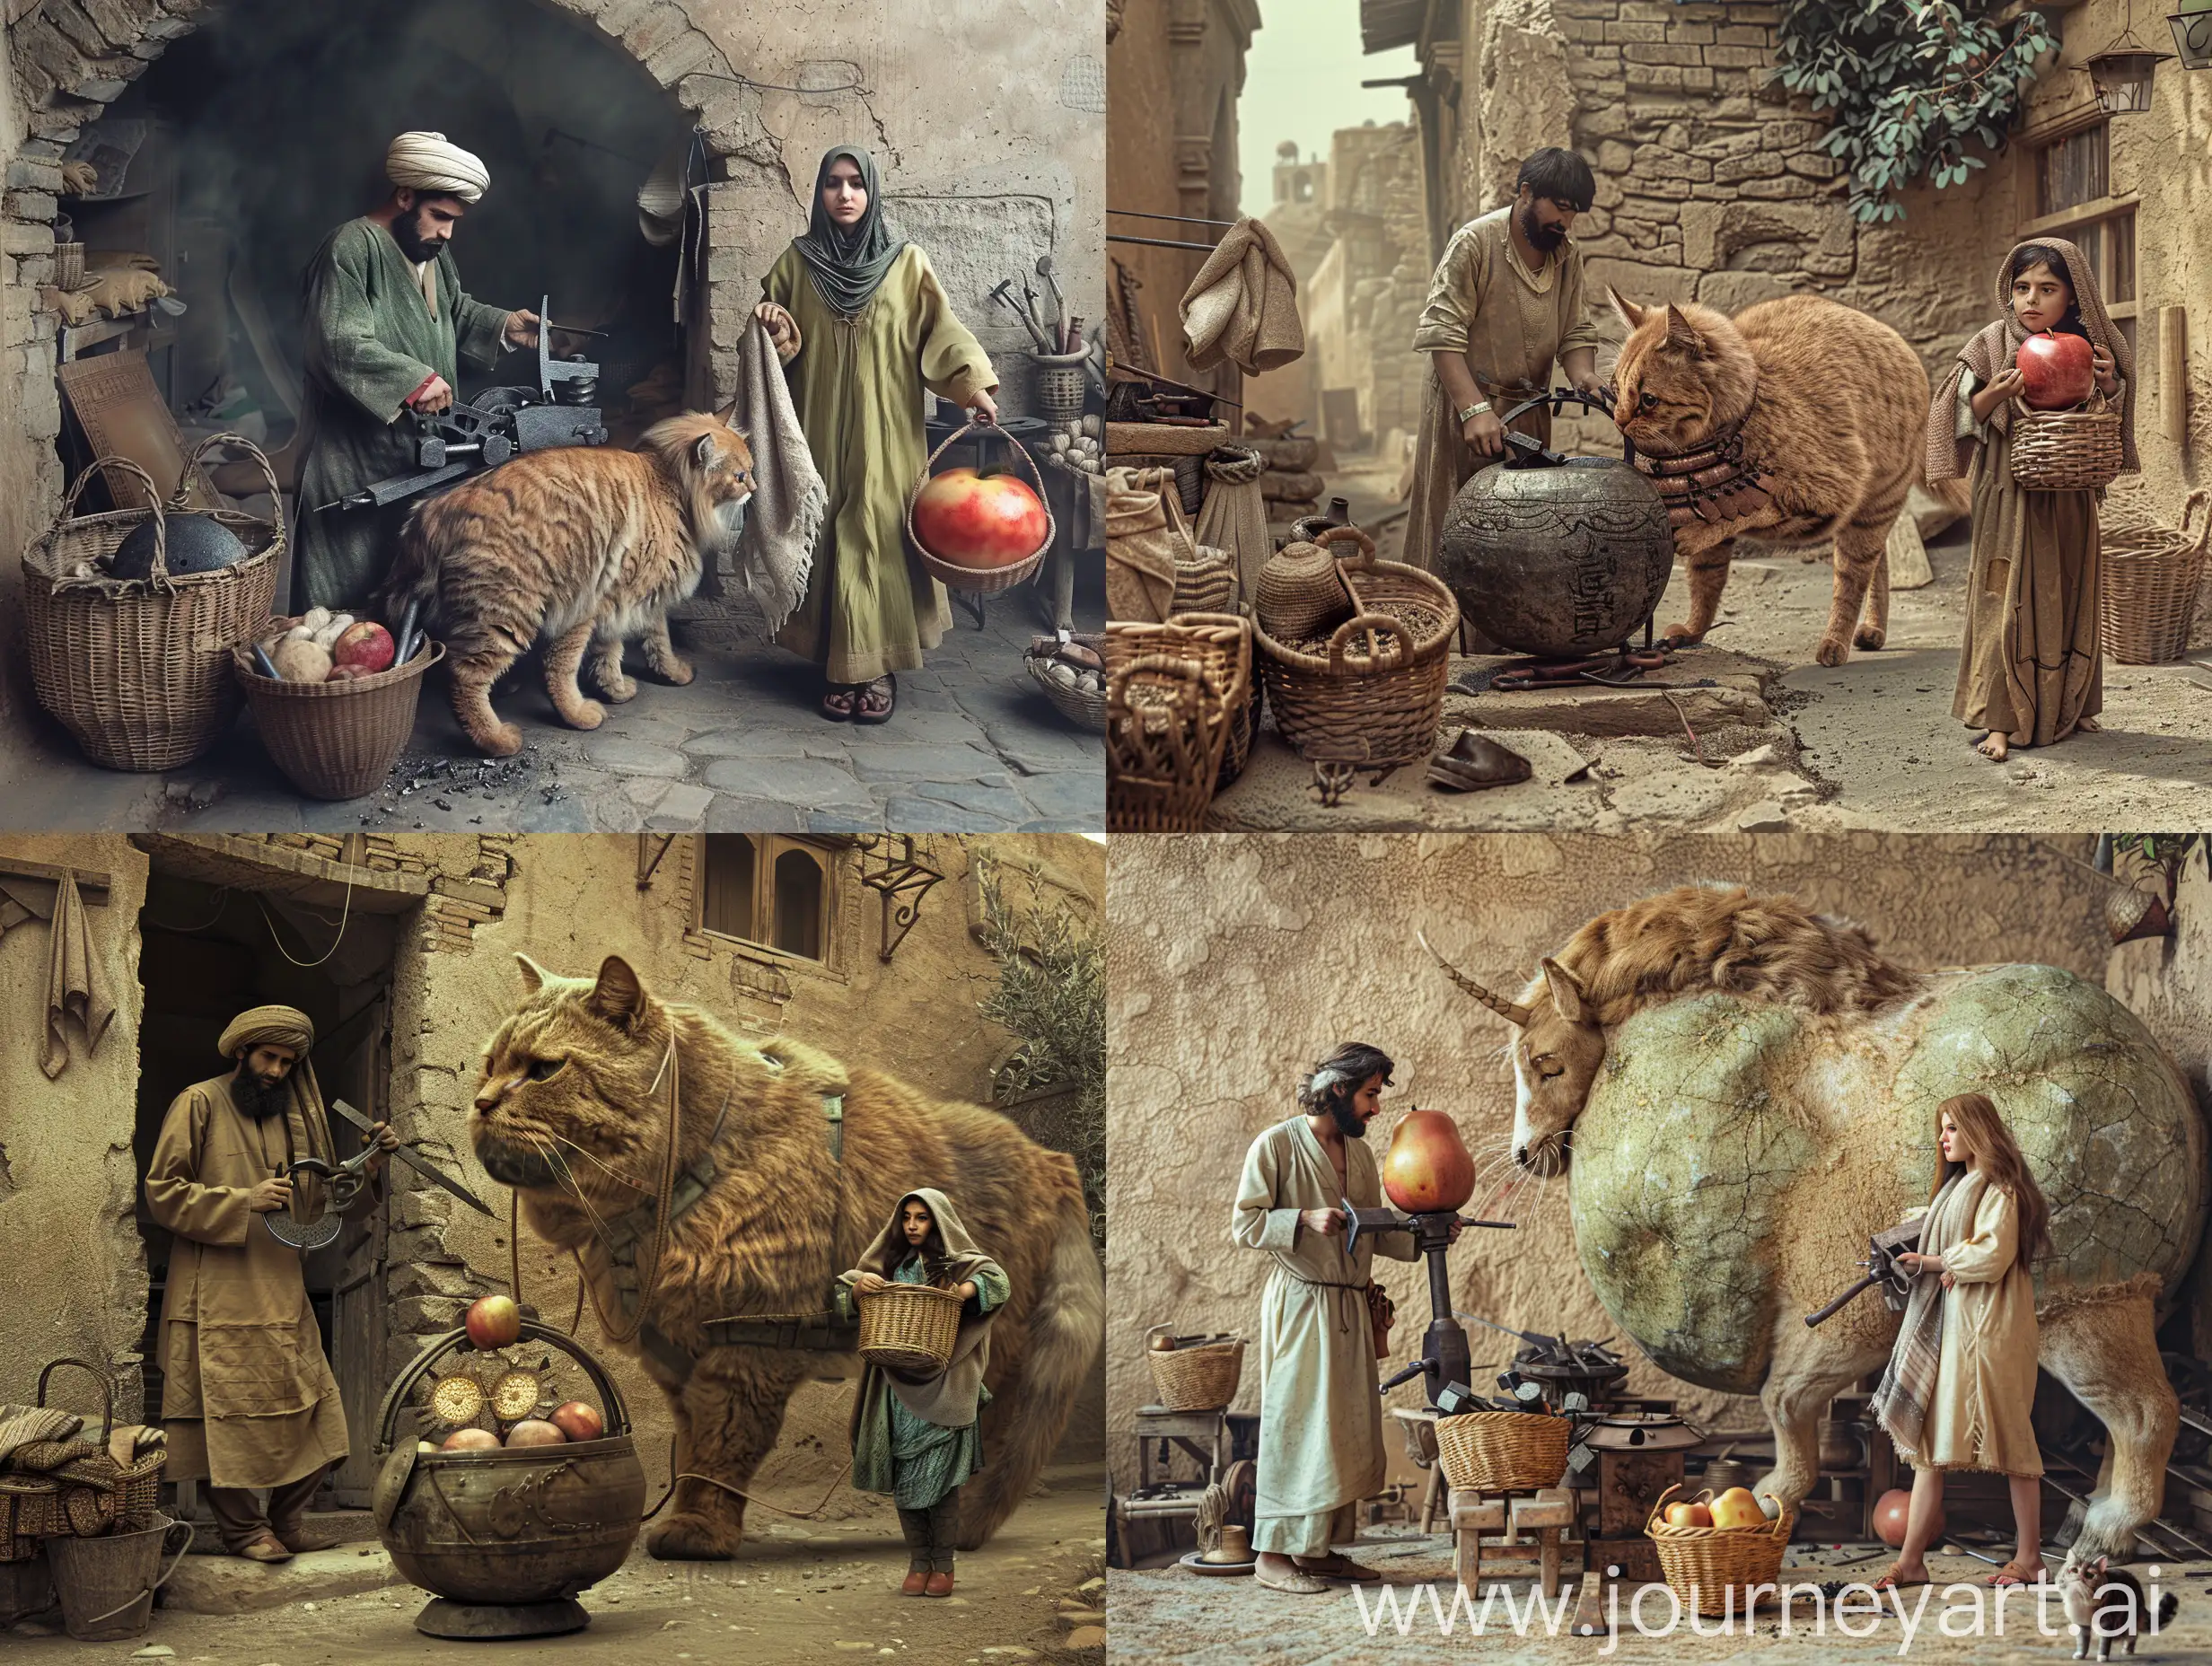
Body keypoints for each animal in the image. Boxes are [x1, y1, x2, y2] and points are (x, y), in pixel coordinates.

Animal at [469, 955, 1106, 1557]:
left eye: (544, 1070)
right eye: (490, 1065)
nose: (480, 1102)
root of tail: (1053, 1159)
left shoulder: (747, 1343)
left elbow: (721, 1449)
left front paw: (700, 1531)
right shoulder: (679, 1353)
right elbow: (691, 1451)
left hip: (992, 1346)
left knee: (986, 1434)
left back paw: (960, 1523)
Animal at [1610, 289, 1972, 668]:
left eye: (1648, 400)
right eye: (1614, 389)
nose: (1619, 421)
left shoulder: (1830, 490)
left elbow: (1750, 511)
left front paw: (1696, 533)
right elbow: (1706, 578)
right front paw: (1695, 630)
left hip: (1873, 507)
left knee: (1855, 574)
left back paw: (1836, 643)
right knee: (1880, 561)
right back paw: (1874, 631)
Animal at [2052, 1548, 2176, 1654]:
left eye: (2090, 1575)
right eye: (2074, 1570)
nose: (2081, 1576)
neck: (2082, 1602)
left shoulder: (2107, 1622)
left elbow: (2104, 1644)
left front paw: (2102, 1657)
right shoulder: (2081, 1624)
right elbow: (2083, 1642)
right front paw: (2080, 1654)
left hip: (2128, 1620)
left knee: (2132, 1636)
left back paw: (2127, 1650)